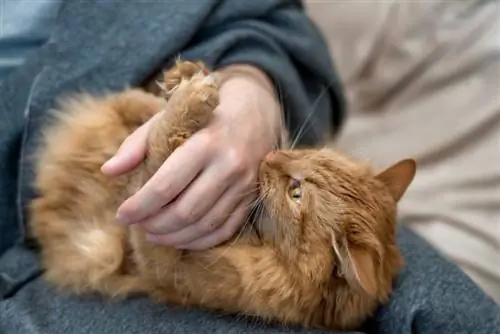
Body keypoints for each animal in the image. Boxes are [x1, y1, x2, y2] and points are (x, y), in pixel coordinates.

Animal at [29, 60, 416, 332]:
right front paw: (186, 84)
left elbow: (155, 159)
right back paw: (181, 77)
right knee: (134, 102)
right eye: (315, 155)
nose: (270, 155)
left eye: (296, 193)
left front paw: (189, 102)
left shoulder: (160, 257)